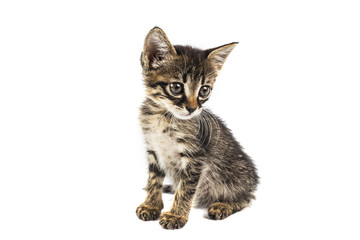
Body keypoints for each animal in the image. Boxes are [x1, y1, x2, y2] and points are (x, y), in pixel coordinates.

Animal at [136, 27, 258, 230]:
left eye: (204, 90)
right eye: (176, 87)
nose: (193, 109)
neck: (163, 117)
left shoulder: (195, 158)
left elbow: (186, 188)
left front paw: (176, 215)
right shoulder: (153, 149)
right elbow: (154, 180)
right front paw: (151, 205)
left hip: (237, 177)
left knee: (246, 198)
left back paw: (223, 205)